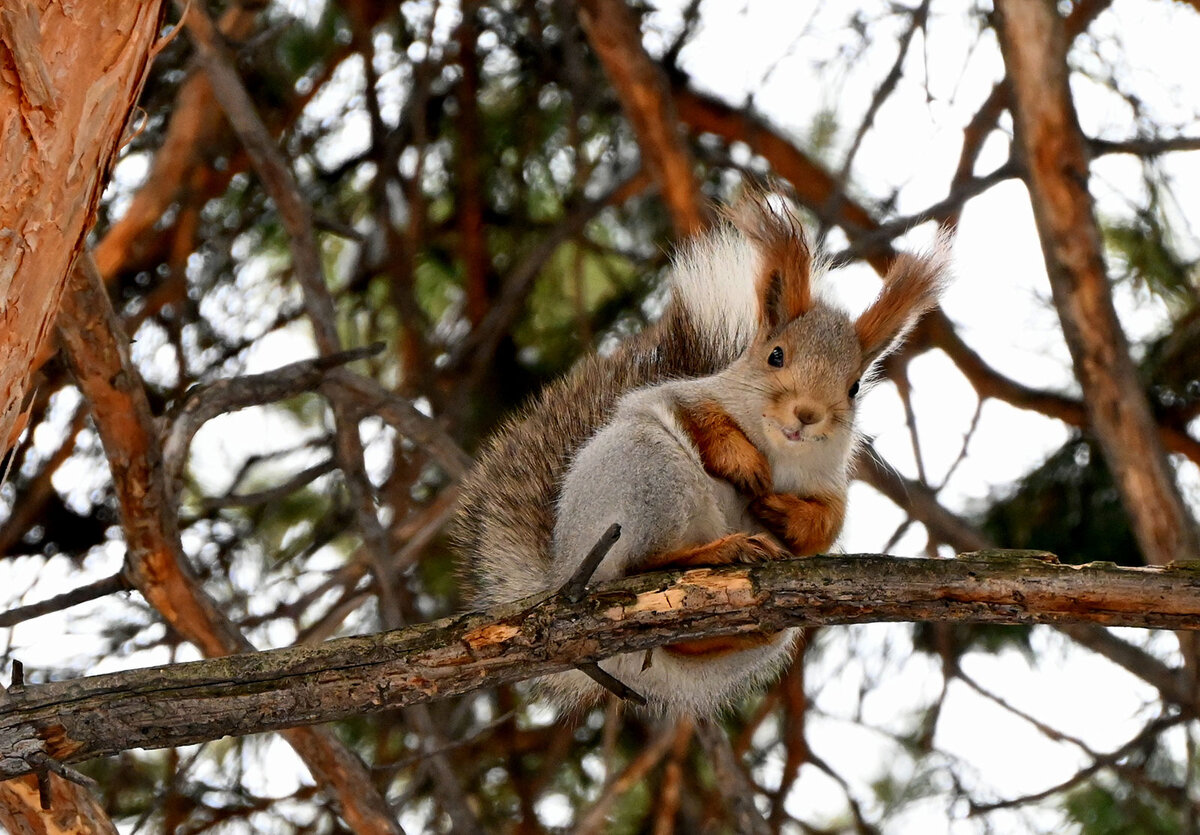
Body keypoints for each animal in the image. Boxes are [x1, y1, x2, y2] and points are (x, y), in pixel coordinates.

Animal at [453, 191, 950, 715]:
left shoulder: (830, 483)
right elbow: (702, 423)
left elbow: (825, 525)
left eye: (854, 387)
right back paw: (719, 549)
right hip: (648, 474)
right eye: (775, 355)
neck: (781, 452)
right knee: (643, 565)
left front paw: (784, 513)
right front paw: (743, 462)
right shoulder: (680, 396)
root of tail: (562, 571)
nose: (807, 413)